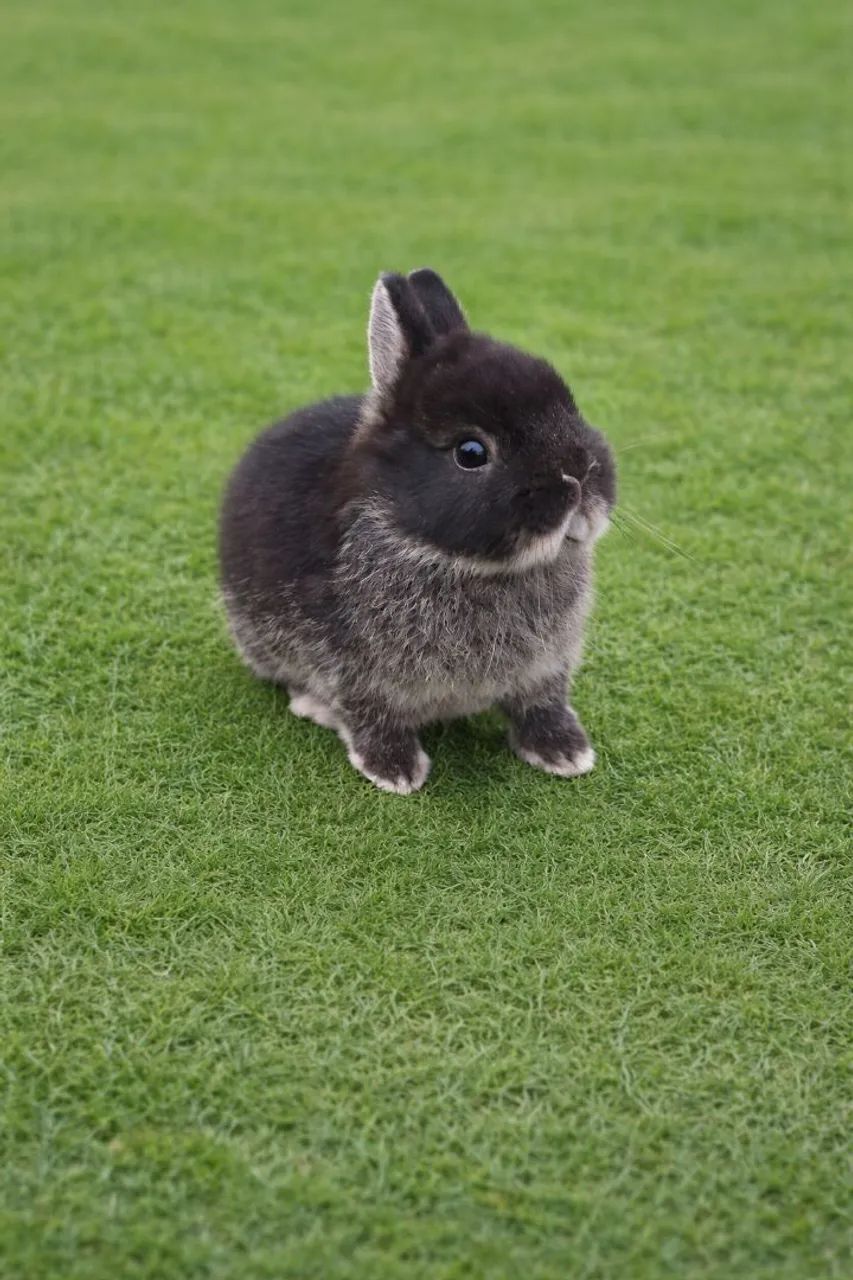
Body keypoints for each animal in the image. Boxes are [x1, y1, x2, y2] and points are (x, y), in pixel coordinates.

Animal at [219, 268, 616, 794]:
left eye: (570, 409)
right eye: (471, 453)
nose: (579, 473)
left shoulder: (546, 669)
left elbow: (542, 704)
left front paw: (566, 752)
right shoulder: (354, 670)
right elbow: (370, 715)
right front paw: (395, 770)